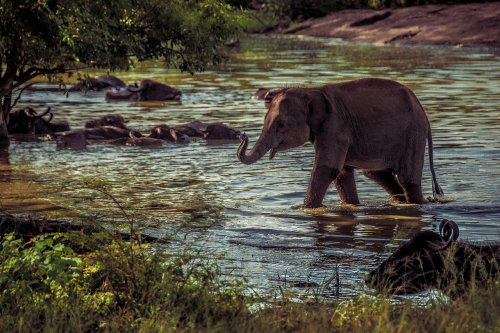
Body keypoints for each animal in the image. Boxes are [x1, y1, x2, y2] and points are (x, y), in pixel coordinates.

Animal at [236, 78, 444, 208]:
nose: (242, 135)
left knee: (407, 178)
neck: (311, 90)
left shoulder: (335, 127)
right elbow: (342, 173)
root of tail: (421, 108)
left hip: (413, 133)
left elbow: (328, 169)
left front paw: (304, 209)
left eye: (281, 124)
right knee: (375, 173)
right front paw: (352, 206)